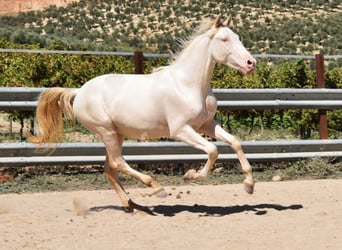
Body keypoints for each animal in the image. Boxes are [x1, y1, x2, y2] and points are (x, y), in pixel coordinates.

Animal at [28, 15, 254, 211]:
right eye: (224, 39)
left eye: (238, 38)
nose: (251, 63)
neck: (188, 85)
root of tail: (79, 93)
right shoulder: (181, 130)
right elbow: (213, 150)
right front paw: (191, 175)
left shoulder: (206, 125)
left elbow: (234, 142)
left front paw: (249, 184)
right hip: (107, 131)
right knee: (118, 163)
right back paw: (156, 188)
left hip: (116, 134)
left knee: (110, 167)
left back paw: (132, 205)